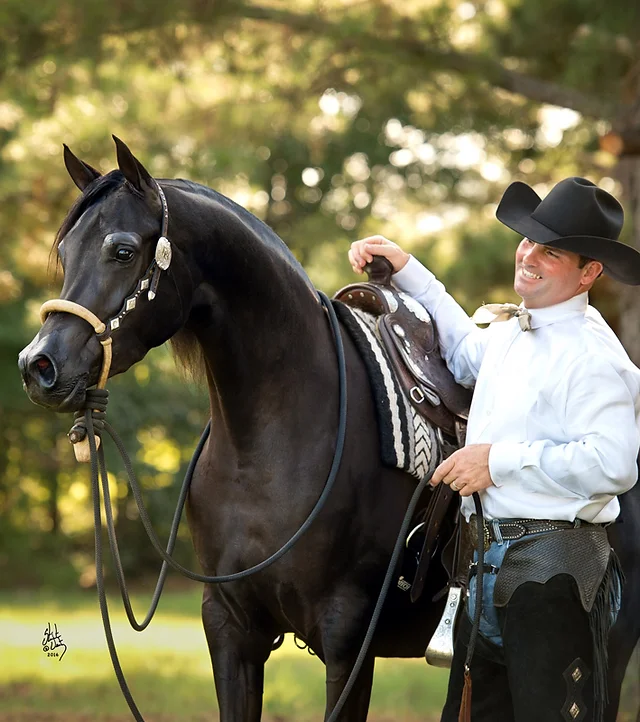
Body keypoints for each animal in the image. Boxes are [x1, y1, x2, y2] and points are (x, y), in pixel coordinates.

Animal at [18, 137, 640, 722]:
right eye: (65, 250)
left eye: (122, 250)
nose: (38, 366)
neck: (267, 450)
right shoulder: (231, 629)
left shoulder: (347, 643)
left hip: (607, 653)